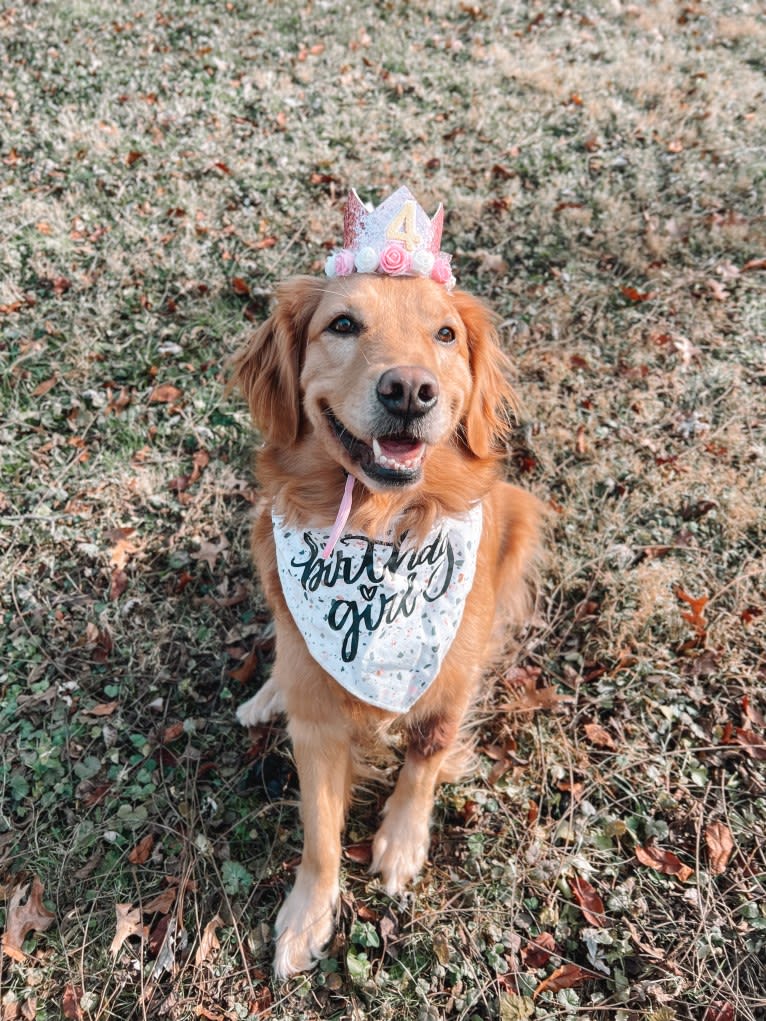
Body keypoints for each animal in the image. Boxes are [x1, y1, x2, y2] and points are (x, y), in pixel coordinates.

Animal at [232, 191, 539, 980]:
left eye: (445, 333)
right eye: (343, 324)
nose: (408, 390)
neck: (381, 529)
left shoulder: (447, 673)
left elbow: (427, 754)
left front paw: (401, 844)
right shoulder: (317, 720)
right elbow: (318, 829)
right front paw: (308, 914)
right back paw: (267, 693)